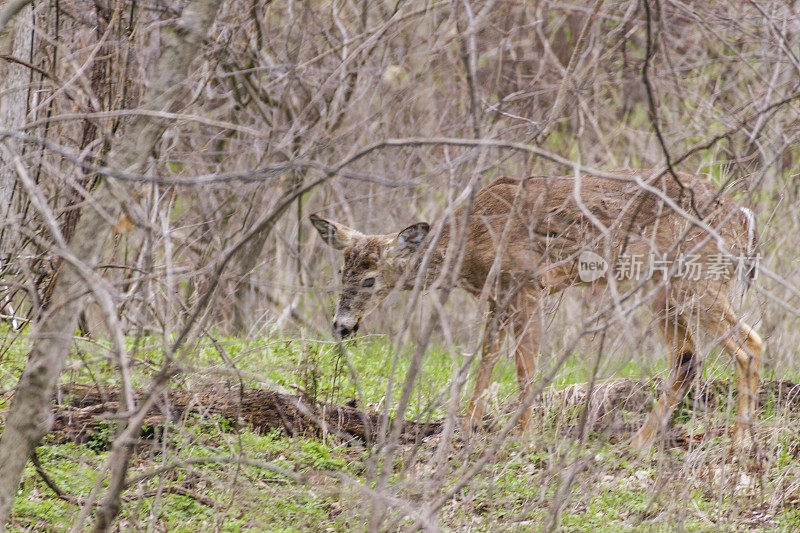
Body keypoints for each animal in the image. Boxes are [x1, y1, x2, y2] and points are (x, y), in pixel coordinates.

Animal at [308, 168, 764, 446]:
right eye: (340, 271)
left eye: (370, 279)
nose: (341, 325)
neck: (469, 245)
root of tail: (744, 217)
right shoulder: (497, 296)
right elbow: (488, 360)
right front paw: (466, 428)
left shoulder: (526, 283)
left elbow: (525, 365)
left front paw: (523, 436)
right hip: (663, 284)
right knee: (689, 356)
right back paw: (640, 444)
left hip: (695, 278)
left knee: (747, 345)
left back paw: (741, 440)